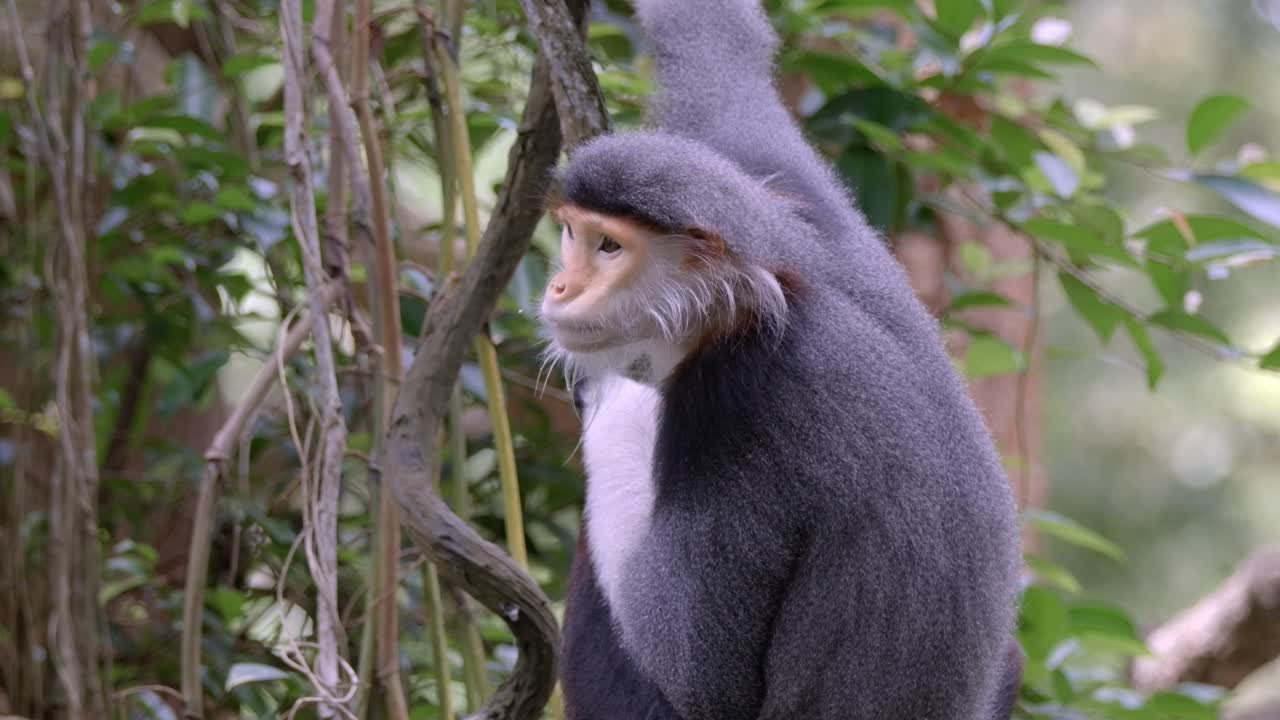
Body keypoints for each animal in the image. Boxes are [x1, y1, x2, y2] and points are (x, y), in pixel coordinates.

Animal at [539, 1, 1024, 718]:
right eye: (572, 234)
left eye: (608, 248)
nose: (559, 287)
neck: (778, 296)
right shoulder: (808, 212)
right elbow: (727, 72)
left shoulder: (738, 402)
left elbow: (700, 673)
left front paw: (615, 399)